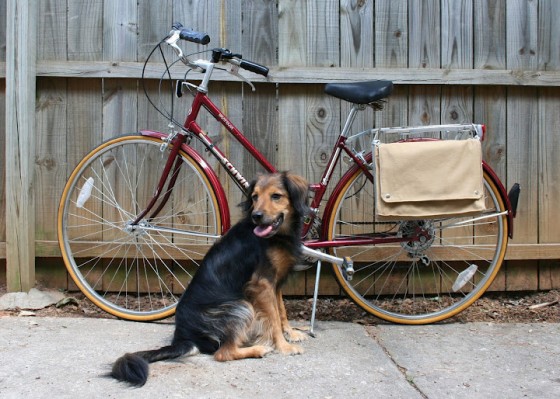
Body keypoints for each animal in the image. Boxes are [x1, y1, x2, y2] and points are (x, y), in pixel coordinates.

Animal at [110, 172, 310, 388]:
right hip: (240, 306)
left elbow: (281, 310)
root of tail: (183, 336)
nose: (256, 216)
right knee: (223, 353)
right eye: (255, 197)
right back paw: (258, 349)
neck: (277, 235)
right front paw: (284, 346)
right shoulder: (262, 284)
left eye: (276, 196)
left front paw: (292, 333)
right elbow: (273, 317)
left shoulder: (275, 281)